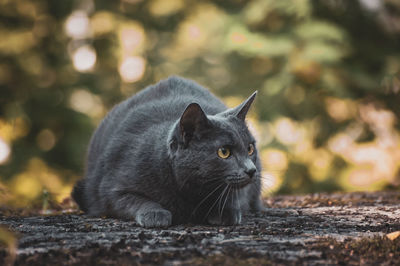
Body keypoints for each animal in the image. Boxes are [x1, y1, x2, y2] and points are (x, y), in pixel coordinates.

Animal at [71, 76, 264, 228]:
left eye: (250, 148)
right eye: (224, 152)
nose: (251, 170)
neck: (190, 194)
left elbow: (236, 194)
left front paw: (225, 211)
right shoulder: (110, 189)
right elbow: (133, 199)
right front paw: (155, 214)